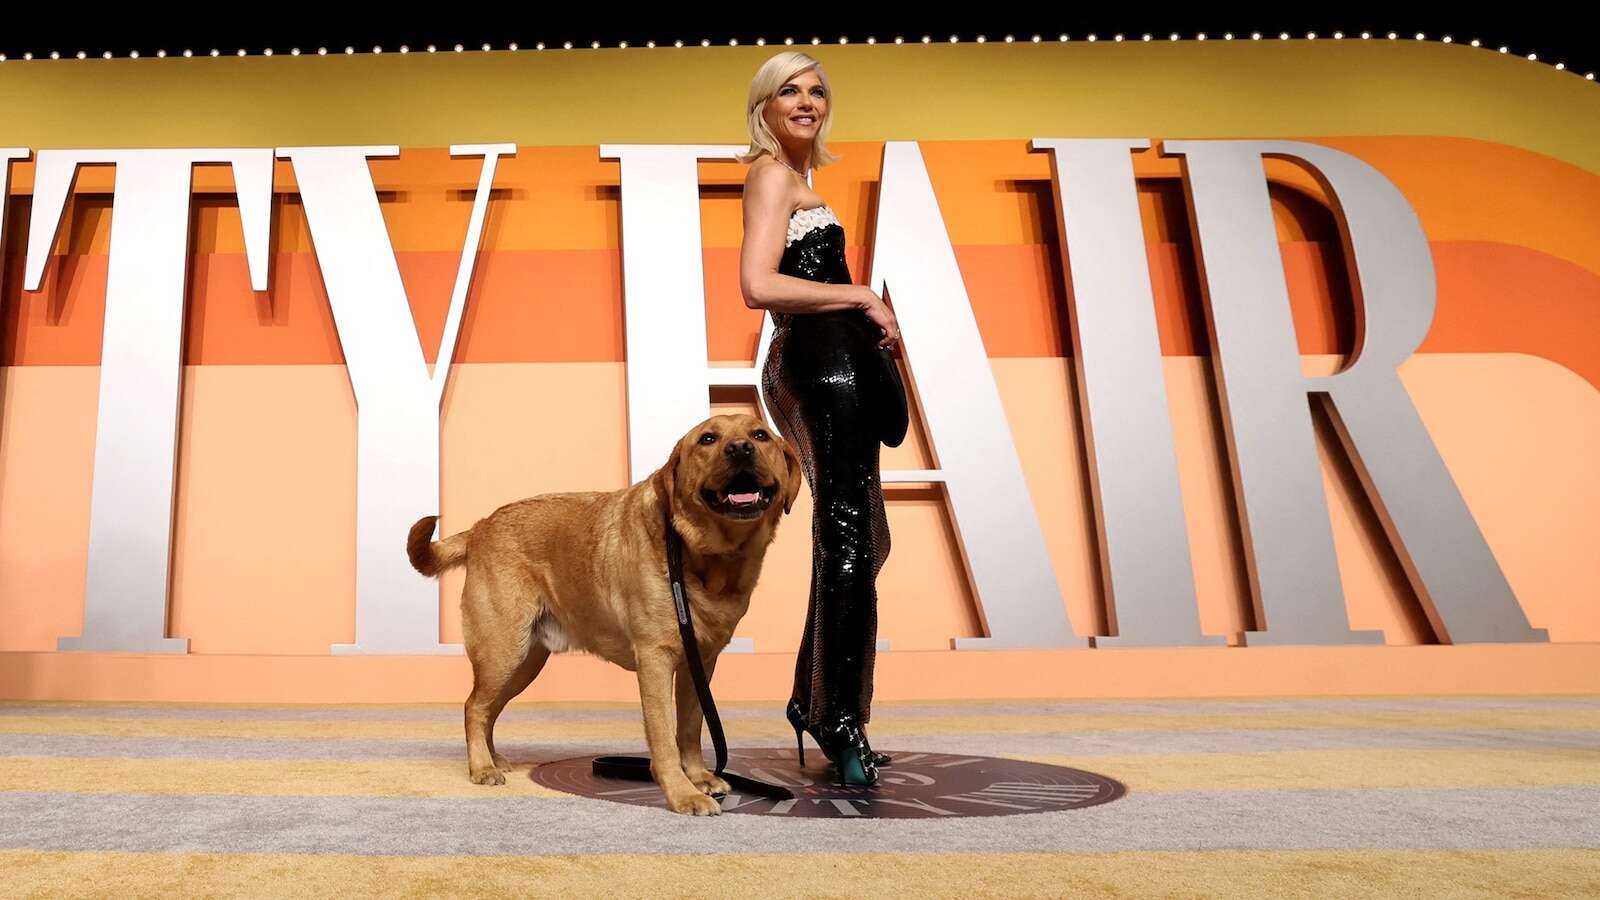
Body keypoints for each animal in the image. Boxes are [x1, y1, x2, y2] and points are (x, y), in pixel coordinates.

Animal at [403, 413, 796, 813]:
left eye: (759, 435)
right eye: (708, 439)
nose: (740, 449)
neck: (705, 558)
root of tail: (480, 527)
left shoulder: (698, 664)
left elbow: (689, 728)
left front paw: (699, 777)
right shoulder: (656, 660)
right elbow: (664, 737)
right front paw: (682, 792)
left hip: (524, 662)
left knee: (488, 710)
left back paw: (492, 758)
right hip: (503, 651)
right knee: (473, 708)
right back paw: (481, 767)